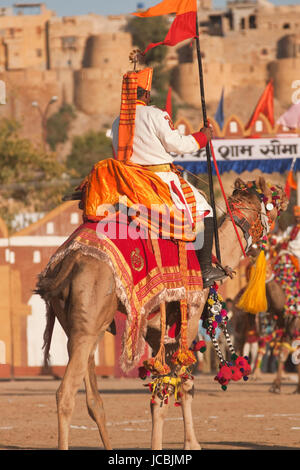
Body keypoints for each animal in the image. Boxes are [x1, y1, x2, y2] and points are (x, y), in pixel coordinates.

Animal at [35, 174, 288, 450]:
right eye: (271, 197)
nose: (285, 195)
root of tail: (70, 259)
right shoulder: (188, 323)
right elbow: (171, 390)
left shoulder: (157, 332)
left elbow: (173, 388)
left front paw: (191, 443)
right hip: (87, 328)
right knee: (65, 394)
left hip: (81, 326)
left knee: (94, 400)